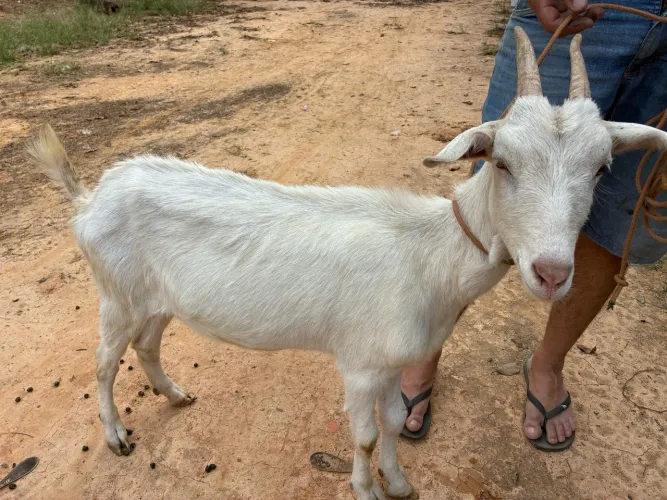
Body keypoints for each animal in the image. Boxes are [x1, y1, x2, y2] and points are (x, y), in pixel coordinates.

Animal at [27, 28, 667, 500]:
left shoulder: (390, 365)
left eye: (603, 169)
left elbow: (393, 423)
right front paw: (367, 489)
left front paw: (400, 483)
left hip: (159, 298)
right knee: (104, 362)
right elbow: (361, 437)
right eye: (503, 162)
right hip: (116, 292)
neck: (432, 255)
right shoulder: (360, 364)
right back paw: (117, 435)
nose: (552, 273)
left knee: (147, 344)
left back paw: (175, 394)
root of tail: (89, 197)